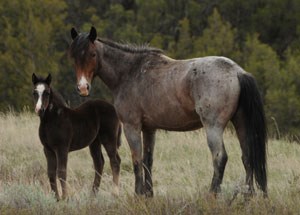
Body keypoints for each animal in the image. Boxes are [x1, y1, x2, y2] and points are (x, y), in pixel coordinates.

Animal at [68, 26, 268, 197]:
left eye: (93, 54)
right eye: (74, 56)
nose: (83, 88)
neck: (130, 73)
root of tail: (237, 72)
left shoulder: (131, 126)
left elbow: (136, 160)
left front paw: (138, 195)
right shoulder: (149, 129)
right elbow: (148, 161)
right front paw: (149, 195)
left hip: (213, 127)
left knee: (220, 158)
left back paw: (212, 195)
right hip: (241, 123)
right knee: (247, 157)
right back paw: (247, 196)